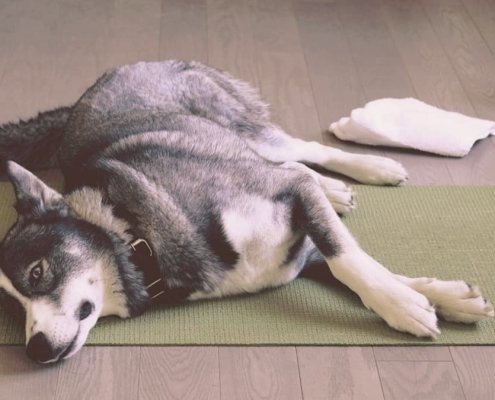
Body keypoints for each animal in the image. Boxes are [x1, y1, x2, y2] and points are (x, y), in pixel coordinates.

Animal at [0, 61, 492, 364]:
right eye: (13, 307)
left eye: (38, 273)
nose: (35, 352)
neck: (138, 234)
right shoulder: (300, 250)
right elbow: (357, 261)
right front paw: (440, 297)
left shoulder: (291, 196)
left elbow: (349, 260)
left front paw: (406, 305)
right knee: (296, 163)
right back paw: (336, 191)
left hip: (243, 127)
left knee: (303, 152)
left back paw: (374, 167)